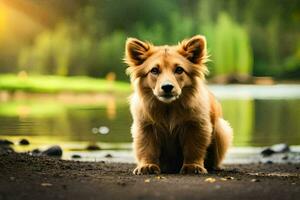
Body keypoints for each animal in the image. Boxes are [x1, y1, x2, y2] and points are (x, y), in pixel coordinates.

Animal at [123, 35, 233, 174]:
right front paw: (147, 165)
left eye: (179, 69)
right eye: (154, 70)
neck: (168, 108)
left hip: (221, 129)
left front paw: (193, 166)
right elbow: (146, 148)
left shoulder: (196, 125)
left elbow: (194, 148)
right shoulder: (145, 127)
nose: (167, 87)